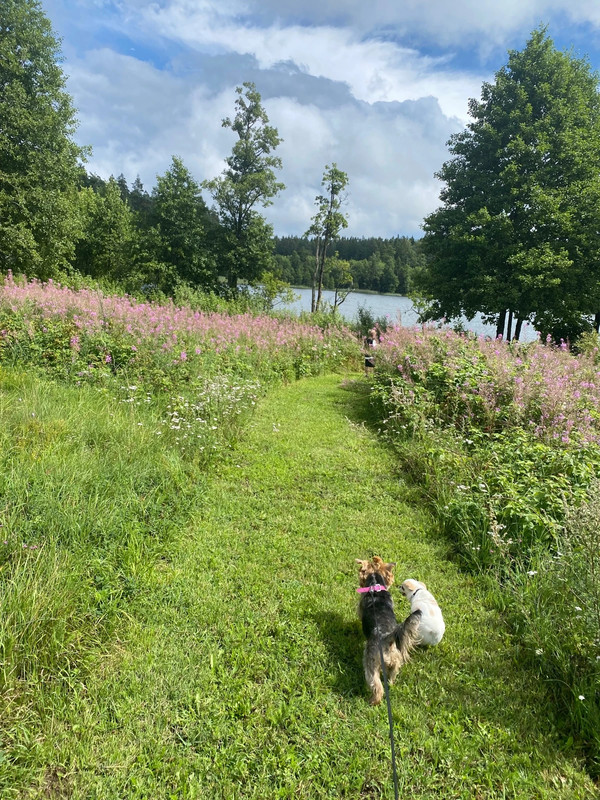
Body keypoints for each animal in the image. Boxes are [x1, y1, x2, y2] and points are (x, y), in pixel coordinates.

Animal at [356, 556, 422, 708]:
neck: (375, 586)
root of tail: (387, 638)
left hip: (370, 663)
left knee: (377, 685)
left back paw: (373, 701)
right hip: (396, 660)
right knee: (392, 676)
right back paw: (390, 685)